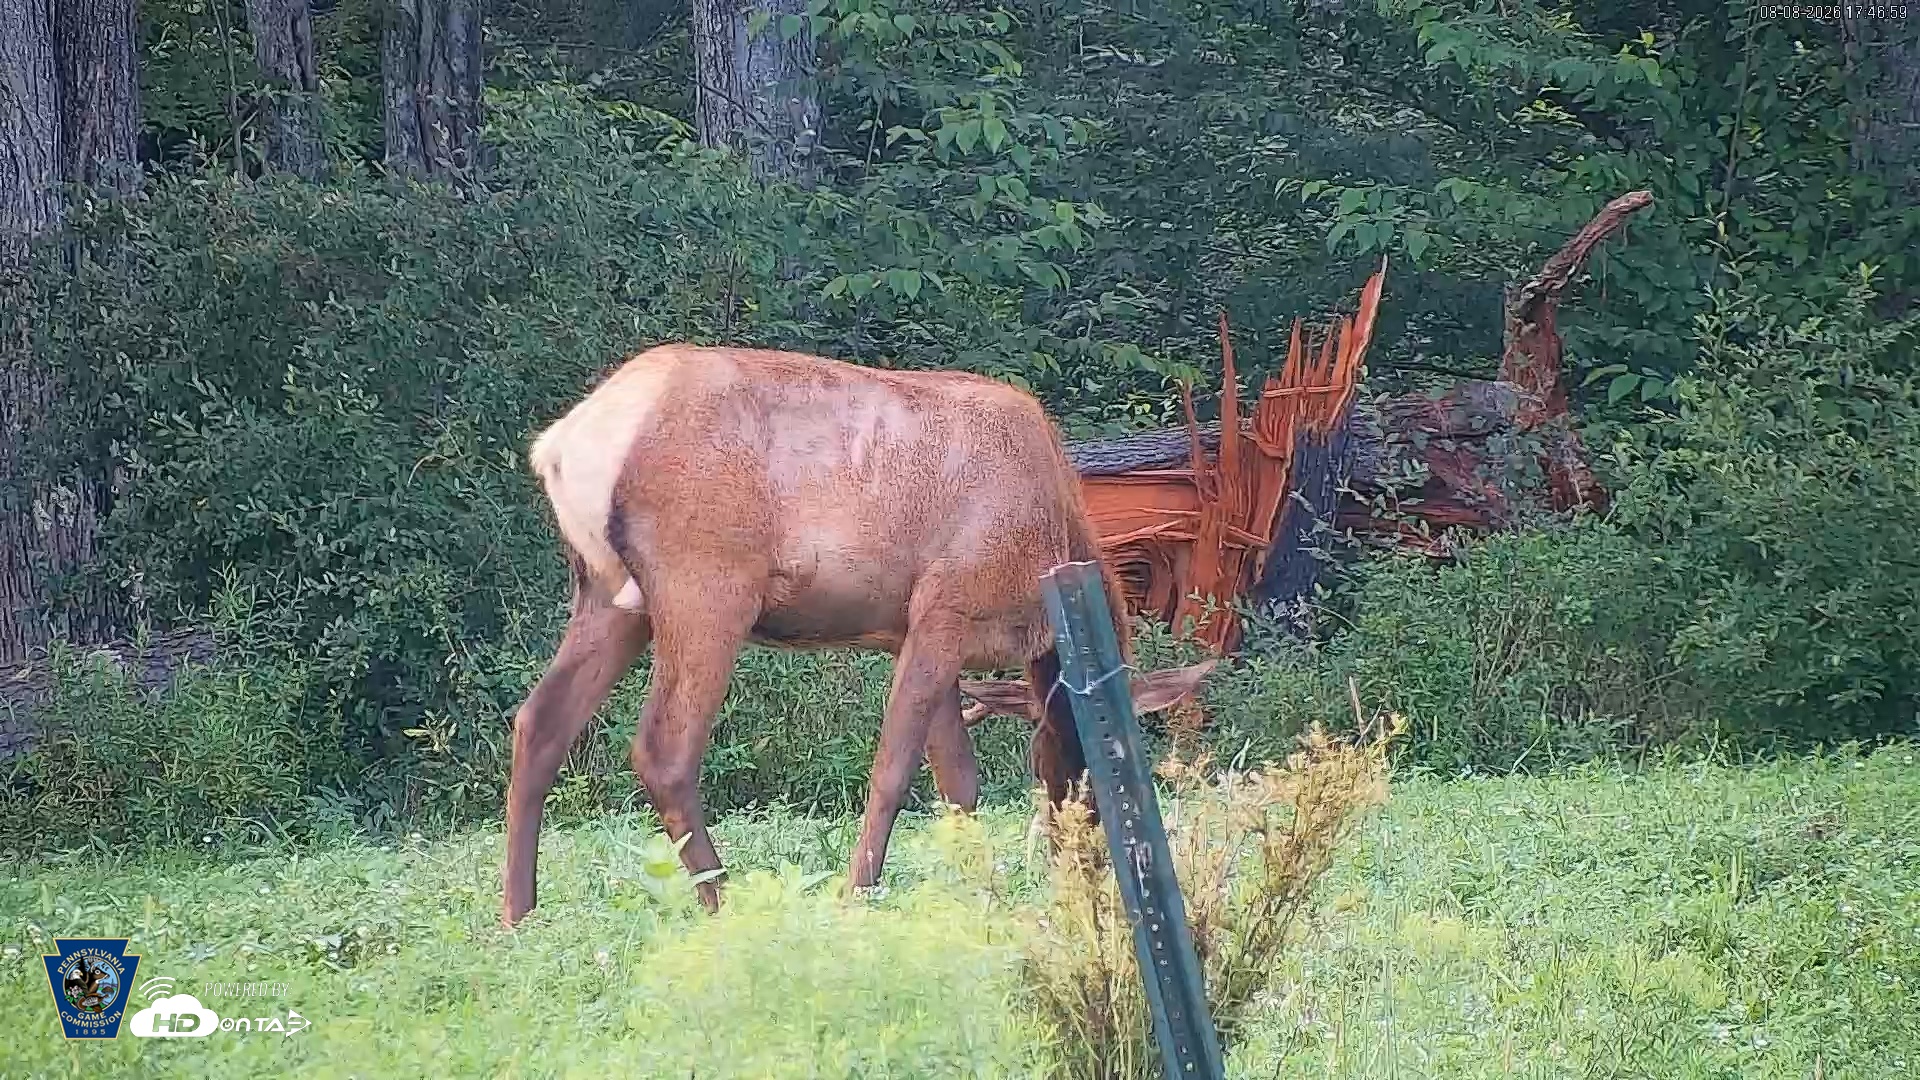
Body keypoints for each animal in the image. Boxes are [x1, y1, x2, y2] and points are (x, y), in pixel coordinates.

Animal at [501, 343, 1132, 926]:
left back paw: (517, 916)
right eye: (1094, 783)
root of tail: (559, 446)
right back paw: (725, 905)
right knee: (663, 751)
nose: (1085, 874)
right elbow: (895, 770)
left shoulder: (916, 631)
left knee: (539, 722)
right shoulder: (947, 607)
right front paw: (855, 893)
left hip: (609, 598)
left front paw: (976, 892)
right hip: (706, 584)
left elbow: (958, 780)